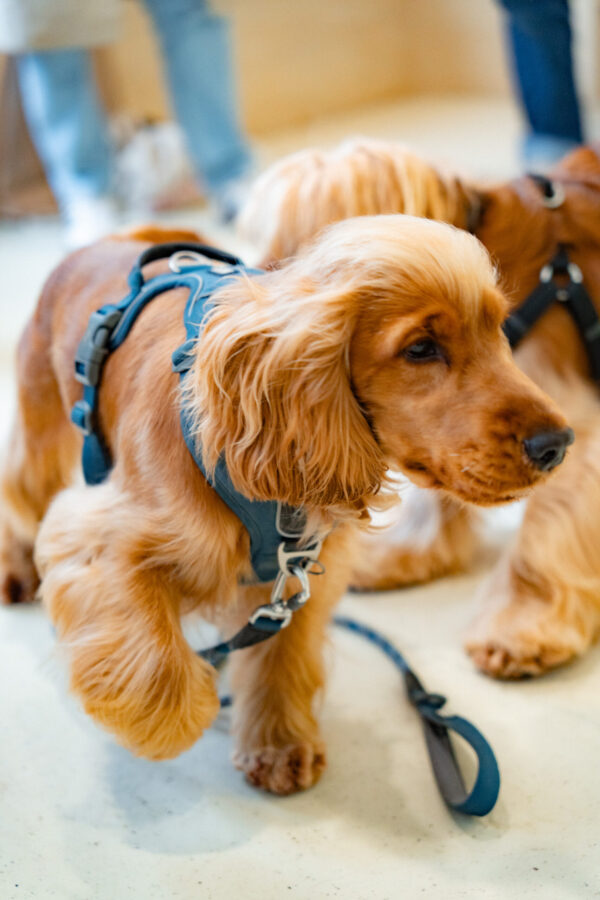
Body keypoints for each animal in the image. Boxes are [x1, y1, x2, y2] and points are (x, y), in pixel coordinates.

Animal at [0, 217, 569, 793]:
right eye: (420, 348)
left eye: (499, 329)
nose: (558, 444)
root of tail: (105, 242)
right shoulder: (99, 539)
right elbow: (159, 673)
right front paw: (192, 707)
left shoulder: (296, 569)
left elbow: (281, 654)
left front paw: (278, 746)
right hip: (42, 423)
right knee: (20, 486)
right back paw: (16, 570)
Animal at [239, 137, 600, 679]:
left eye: (277, 263)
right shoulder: (457, 420)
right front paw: (410, 554)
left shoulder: (565, 424)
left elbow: (547, 528)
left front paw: (522, 626)